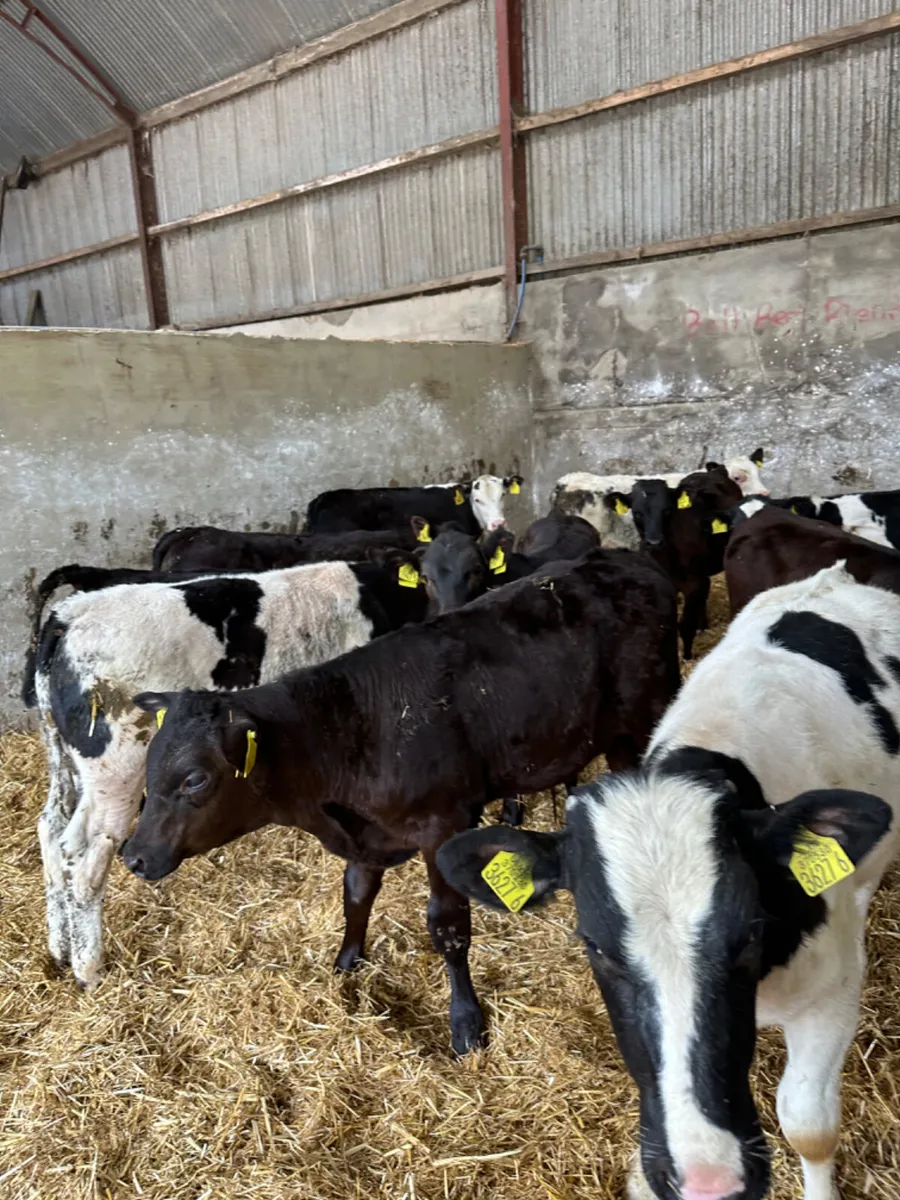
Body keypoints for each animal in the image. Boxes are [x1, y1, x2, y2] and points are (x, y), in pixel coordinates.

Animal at [27, 556, 428, 991]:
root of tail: (68, 616)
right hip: (115, 767)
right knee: (84, 857)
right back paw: (89, 969)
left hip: (63, 754)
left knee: (52, 831)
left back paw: (59, 950)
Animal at [120, 551, 681, 1055]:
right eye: (150, 764)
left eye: (194, 779)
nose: (134, 856)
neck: (348, 733)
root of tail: (627, 560)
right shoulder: (365, 836)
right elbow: (356, 895)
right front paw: (346, 963)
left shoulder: (444, 824)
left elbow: (447, 927)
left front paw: (466, 1023)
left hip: (638, 729)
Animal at [604, 466, 742, 658]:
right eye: (637, 513)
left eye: (667, 511)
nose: (654, 542)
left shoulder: (694, 583)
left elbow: (685, 625)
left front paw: (686, 656)